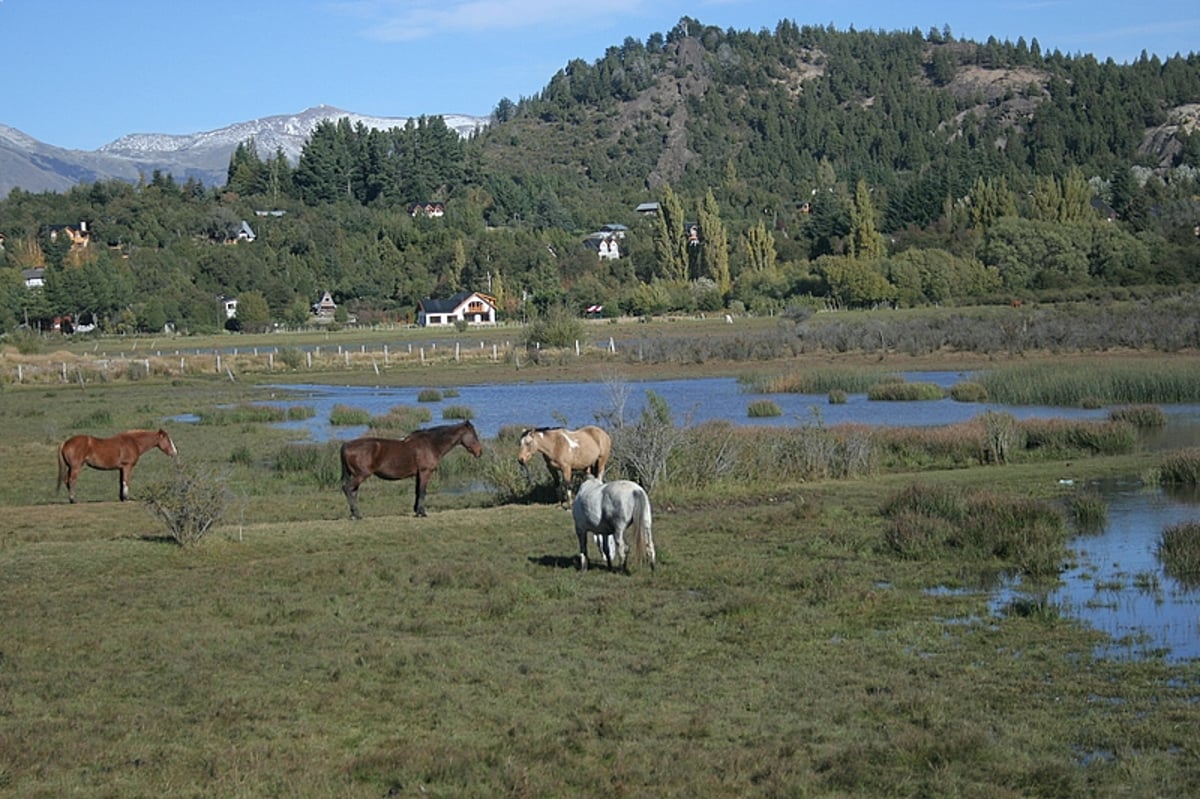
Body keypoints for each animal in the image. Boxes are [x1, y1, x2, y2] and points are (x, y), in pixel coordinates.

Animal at [338, 419, 482, 520]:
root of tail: (347, 444)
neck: (431, 444)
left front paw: (416, 511)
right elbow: (422, 491)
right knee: (347, 488)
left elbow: (417, 491)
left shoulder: (418, 474)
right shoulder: (425, 472)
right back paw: (357, 514)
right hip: (361, 475)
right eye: (474, 435)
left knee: (353, 491)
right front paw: (422, 513)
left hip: (357, 476)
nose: (479, 452)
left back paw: (355, 514)